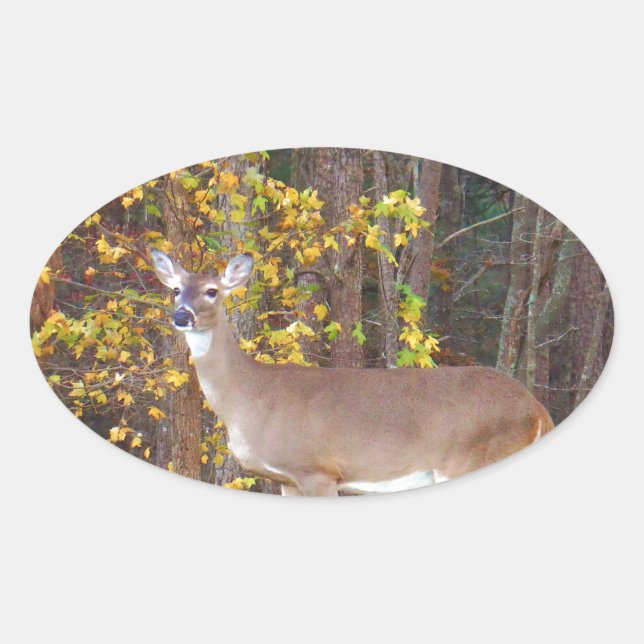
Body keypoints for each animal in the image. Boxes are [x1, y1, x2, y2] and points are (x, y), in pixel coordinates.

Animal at [151, 249, 554, 496]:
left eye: (212, 291)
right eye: (175, 290)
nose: (181, 315)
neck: (251, 398)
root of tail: (538, 411)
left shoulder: (318, 470)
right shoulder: (287, 478)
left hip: (471, 458)